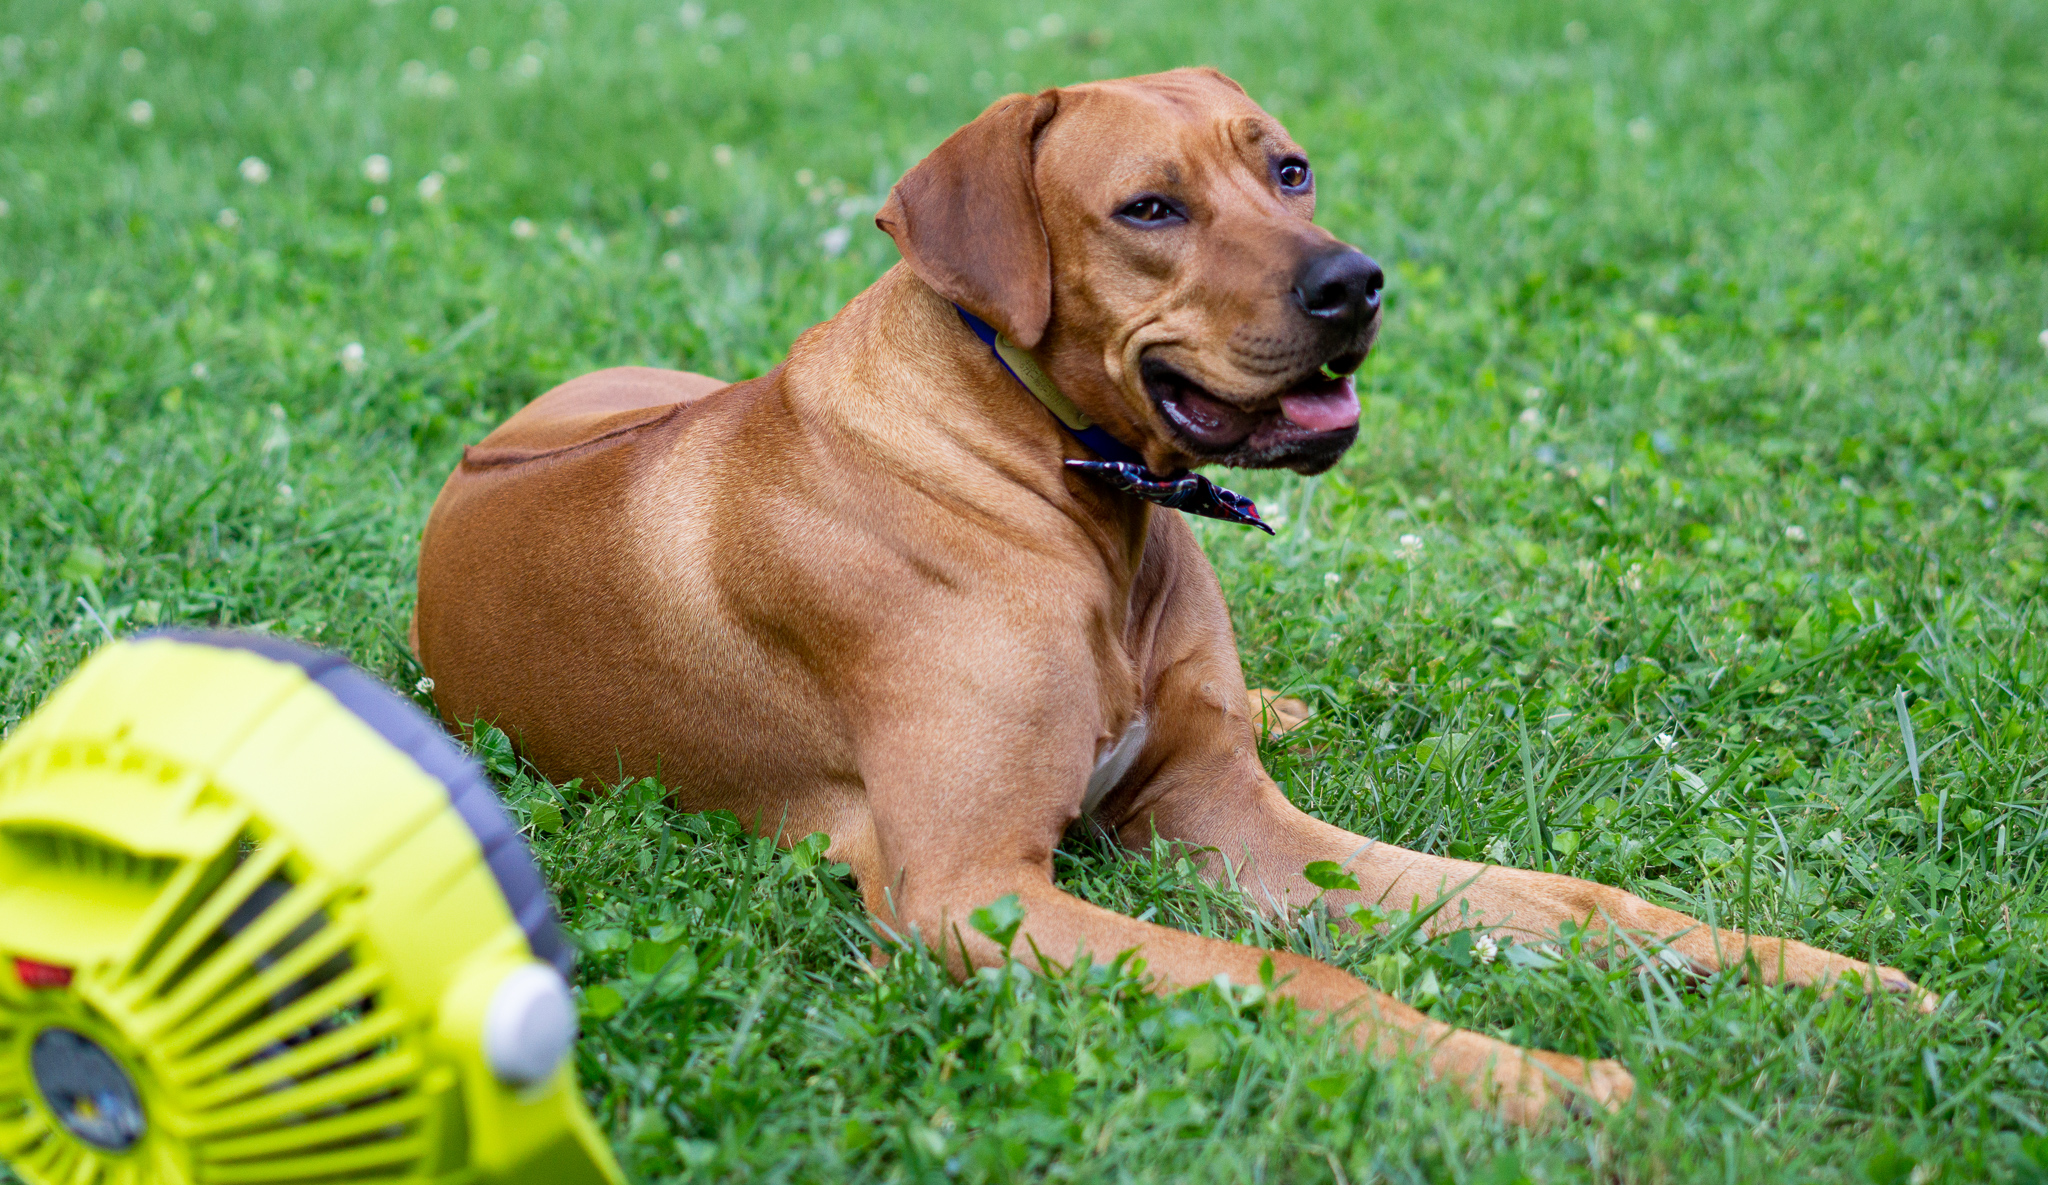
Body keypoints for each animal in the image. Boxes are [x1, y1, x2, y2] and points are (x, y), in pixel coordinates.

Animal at [411, 69, 1916, 1129]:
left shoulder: (1227, 815)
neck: (1071, 484)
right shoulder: (970, 891)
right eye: (1149, 208)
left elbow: (1572, 900)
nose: (1354, 282)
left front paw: (1806, 971)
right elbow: (1300, 974)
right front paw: (1534, 1079)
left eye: (1288, 170)